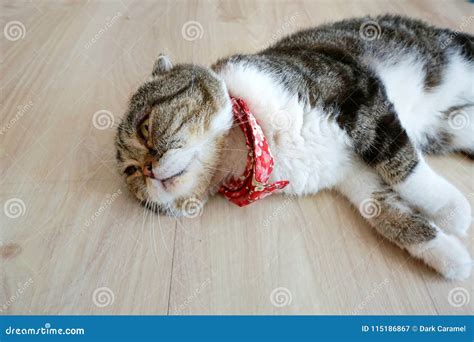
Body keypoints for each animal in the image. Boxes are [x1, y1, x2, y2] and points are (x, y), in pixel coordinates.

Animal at [115, 14, 474, 280]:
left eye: (145, 126)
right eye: (131, 171)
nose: (147, 169)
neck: (253, 146)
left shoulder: (356, 90)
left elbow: (401, 163)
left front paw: (451, 209)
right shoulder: (352, 175)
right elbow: (390, 215)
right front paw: (452, 258)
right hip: (449, 130)